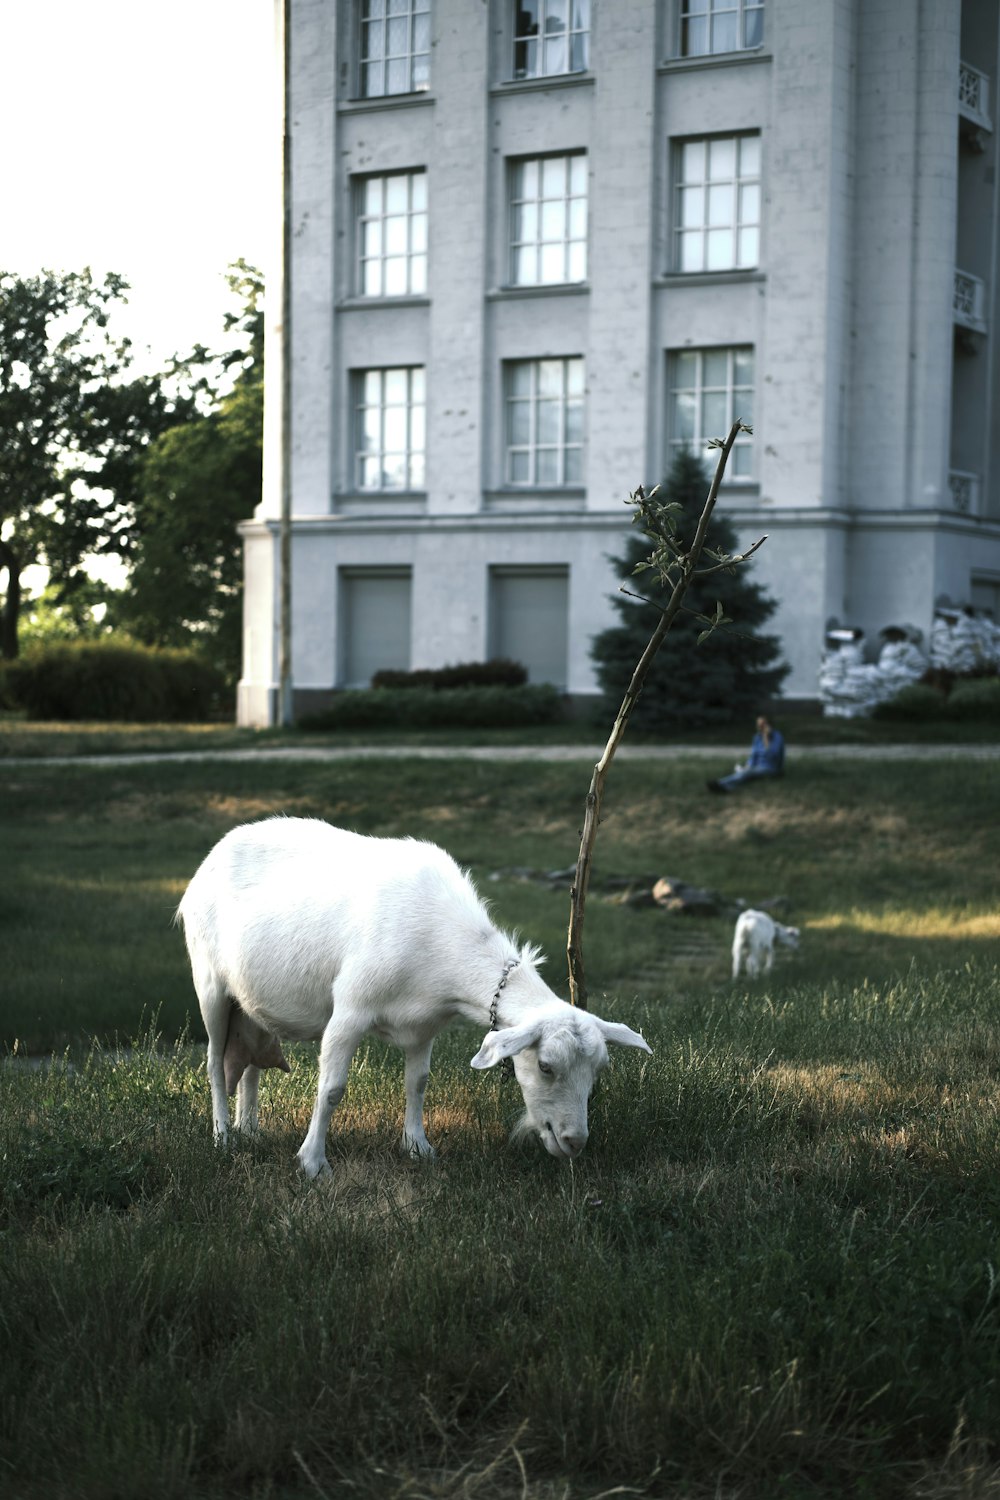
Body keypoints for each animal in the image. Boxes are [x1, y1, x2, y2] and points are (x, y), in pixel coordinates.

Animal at [176, 816, 653, 1176]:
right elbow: (331, 1089)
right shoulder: (350, 1009)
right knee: (214, 1064)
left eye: (599, 1069)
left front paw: (417, 1147)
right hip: (209, 983)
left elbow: (418, 1083)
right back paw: (223, 1137)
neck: (442, 944)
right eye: (546, 1066)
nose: (574, 1142)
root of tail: (213, 855)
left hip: (250, 1004)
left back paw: (250, 1130)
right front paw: (312, 1164)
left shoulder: (424, 1025)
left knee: (250, 1065)